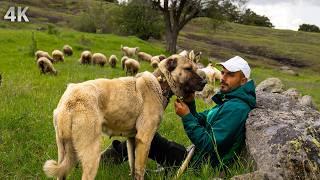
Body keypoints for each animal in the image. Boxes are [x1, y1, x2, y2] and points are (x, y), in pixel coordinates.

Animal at [43, 54, 206, 180]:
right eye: (188, 69)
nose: (205, 82)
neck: (161, 84)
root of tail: (69, 101)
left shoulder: (132, 139)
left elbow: (133, 168)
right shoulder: (145, 139)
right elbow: (140, 171)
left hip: (64, 150)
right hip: (91, 153)